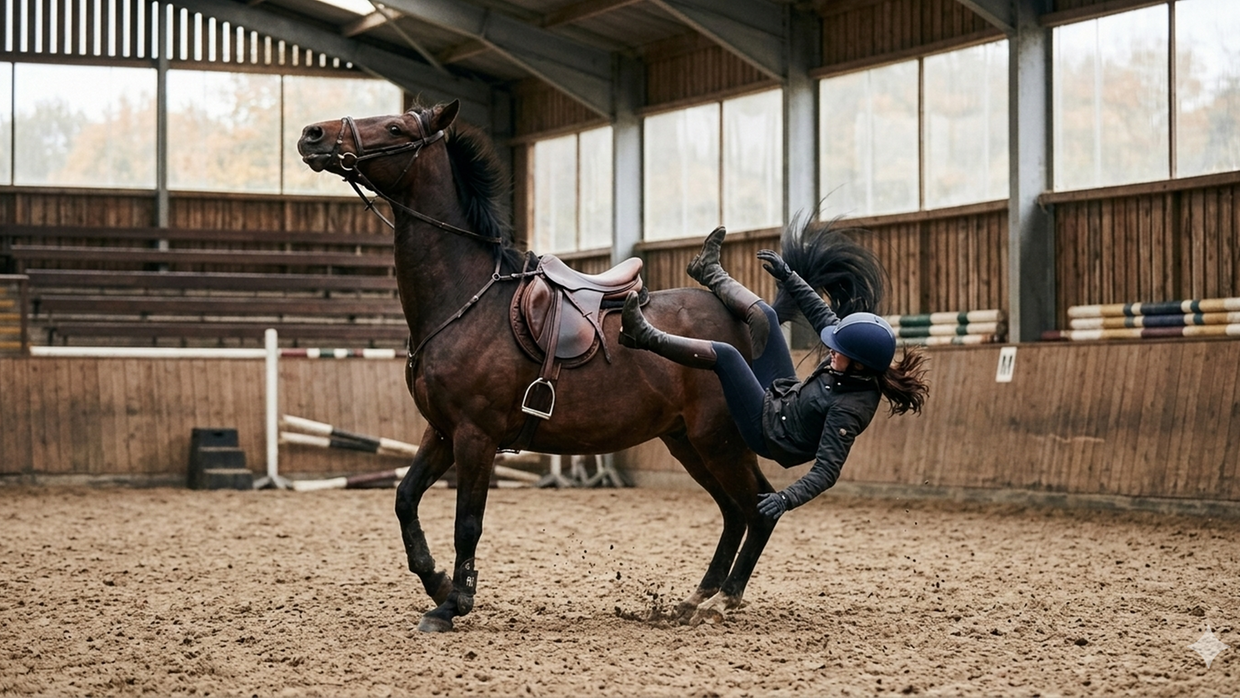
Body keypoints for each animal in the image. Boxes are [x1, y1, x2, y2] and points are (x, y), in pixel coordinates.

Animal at [297, 100, 776, 633]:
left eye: (396, 127)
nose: (313, 134)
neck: (465, 297)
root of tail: (737, 319)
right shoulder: (441, 431)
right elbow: (405, 499)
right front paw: (437, 580)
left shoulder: (475, 435)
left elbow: (467, 522)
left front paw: (453, 603)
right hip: (687, 442)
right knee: (734, 511)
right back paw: (696, 599)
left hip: (719, 440)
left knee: (759, 508)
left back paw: (723, 600)